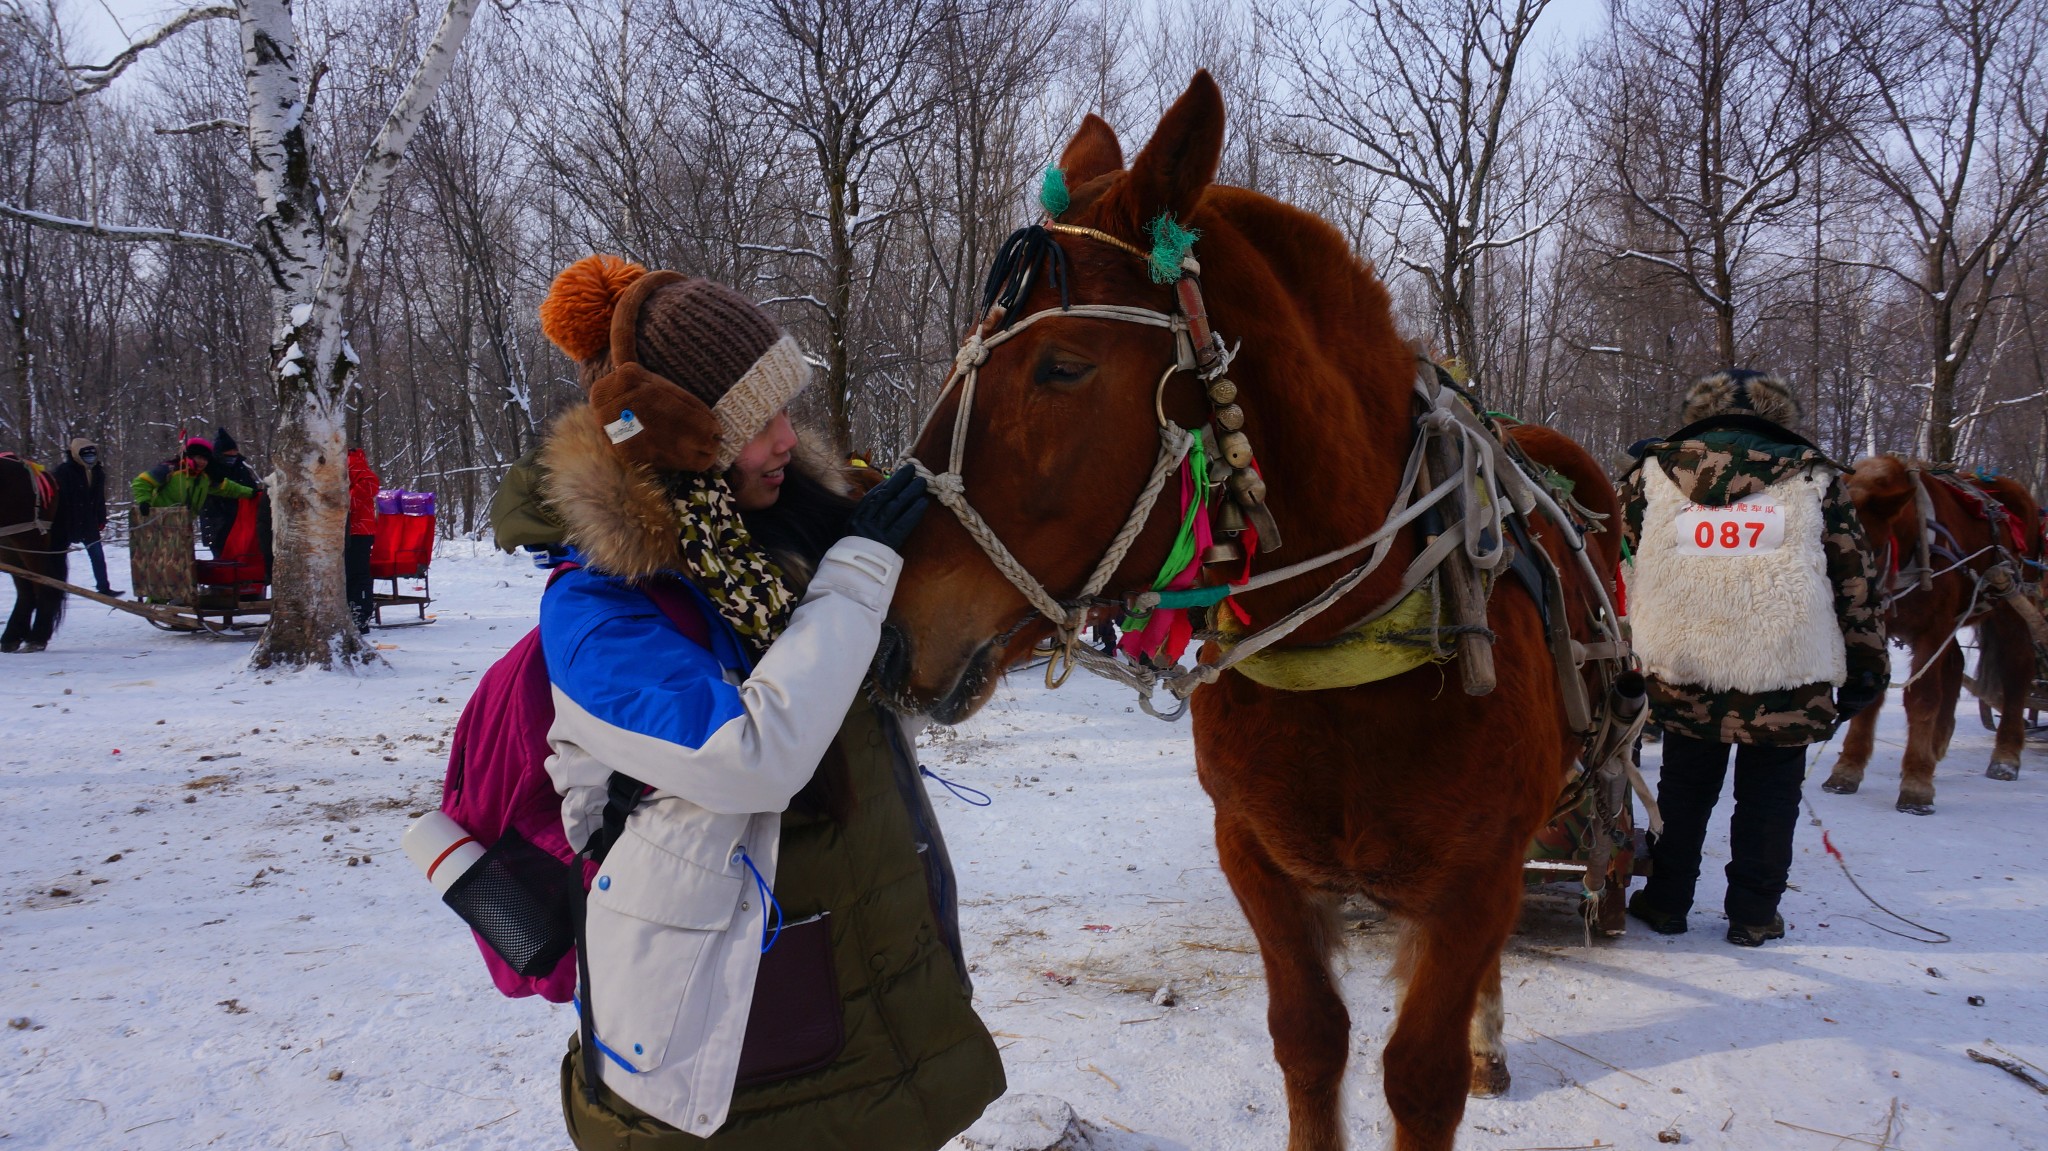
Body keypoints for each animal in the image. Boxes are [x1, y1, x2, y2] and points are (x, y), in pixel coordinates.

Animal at [0, 452, 67, 651]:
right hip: (9, 541)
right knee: (26, 588)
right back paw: (12, 636)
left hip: (28, 537)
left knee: (45, 581)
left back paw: (38, 636)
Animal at [872, 73, 1622, 1146]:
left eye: (1062, 365)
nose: (891, 632)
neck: (1351, 656)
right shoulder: (1259, 859)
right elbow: (1309, 1039)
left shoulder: (1473, 879)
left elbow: (1420, 1071)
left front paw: (1463, 1048)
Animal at [1835, 452, 2039, 811]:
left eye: (1875, 547)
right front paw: (1848, 767)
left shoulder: (1933, 628)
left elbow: (1923, 697)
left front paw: (1917, 782)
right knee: (1956, 663)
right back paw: (1937, 743)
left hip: (2010, 605)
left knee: (2017, 668)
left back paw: (2006, 757)